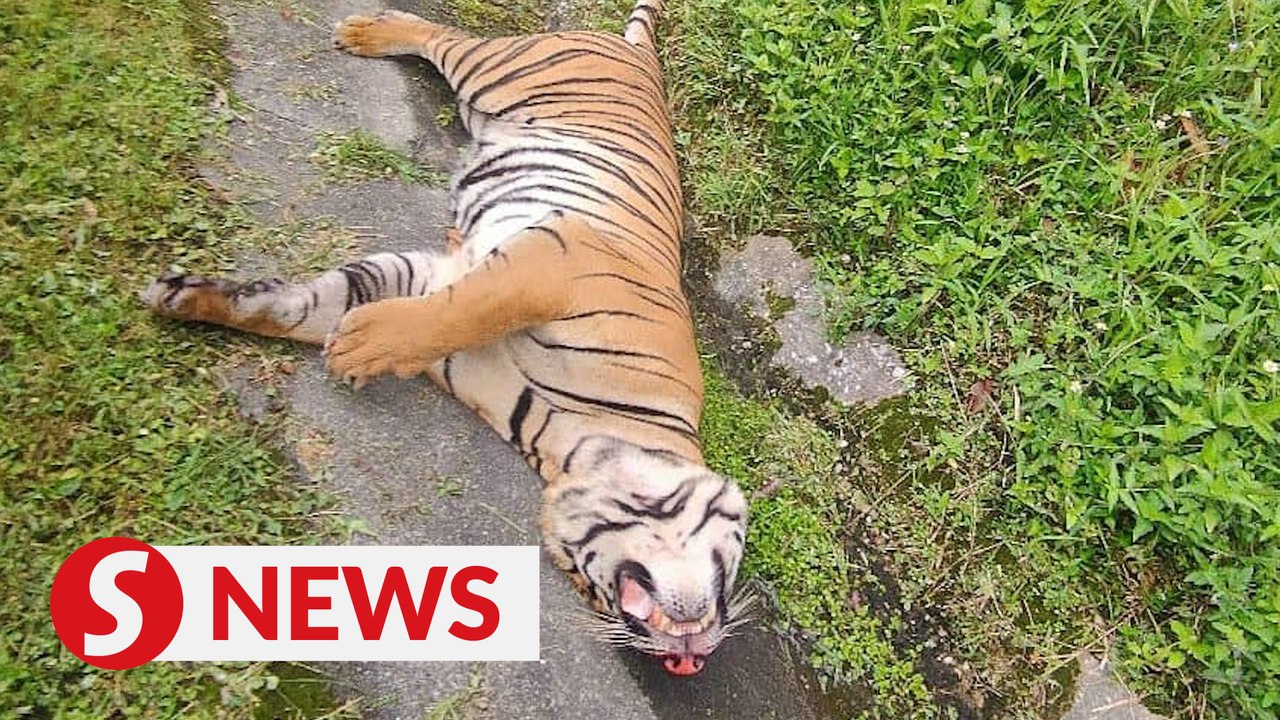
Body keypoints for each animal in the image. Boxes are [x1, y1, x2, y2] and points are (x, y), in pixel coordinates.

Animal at [142, 1, 749, 676]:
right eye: (727, 582)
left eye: (584, 586)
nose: (688, 662)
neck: (578, 443)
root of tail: (637, 53)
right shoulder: (554, 261)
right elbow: (468, 309)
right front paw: (357, 346)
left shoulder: (444, 304)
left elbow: (318, 305)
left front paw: (191, 298)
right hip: (498, 70)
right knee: (441, 36)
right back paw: (364, 31)